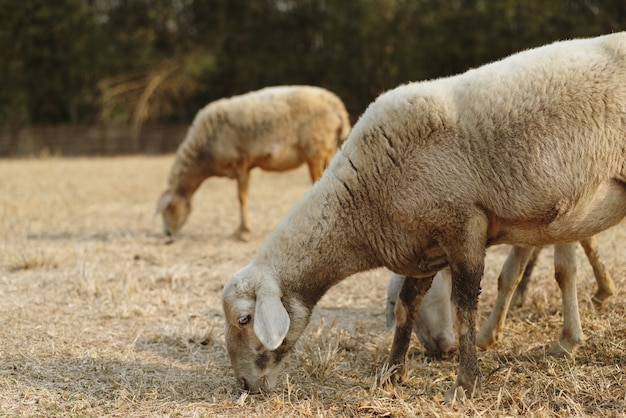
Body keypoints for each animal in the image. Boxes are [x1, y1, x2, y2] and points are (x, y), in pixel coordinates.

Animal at [154, 85, 348, 240]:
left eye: (168, 209)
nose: (168, 234)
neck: (204, 153)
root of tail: (336, 104)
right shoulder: (245, 167)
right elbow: (242, 196)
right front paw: (240, 229)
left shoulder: (240, 162)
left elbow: (241, 197)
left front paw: (244, 231)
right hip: (327, 150)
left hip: (315, 149)